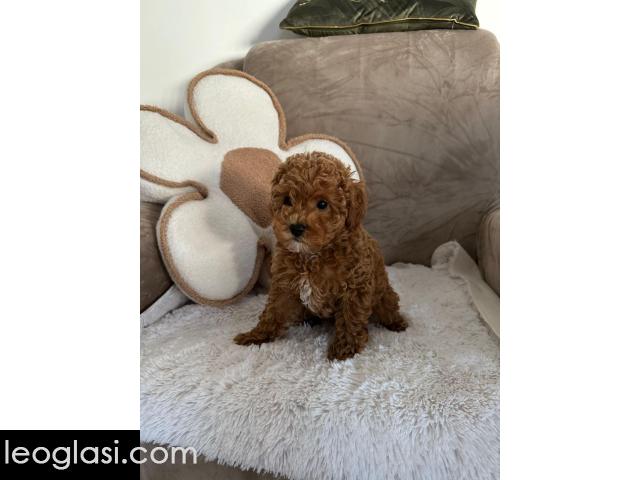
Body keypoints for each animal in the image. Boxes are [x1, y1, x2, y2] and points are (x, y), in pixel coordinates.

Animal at [234, 152, 407, 360]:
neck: (313, 254)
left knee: (389, 306)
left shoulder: (355, 287)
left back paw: (397, 323)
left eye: (322, 204)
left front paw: (343, 350)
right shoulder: (284, 284)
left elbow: (350, 318)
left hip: (383, 294)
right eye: (287, 200)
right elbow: (273, 311)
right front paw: (256, 335)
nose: (296, 227)